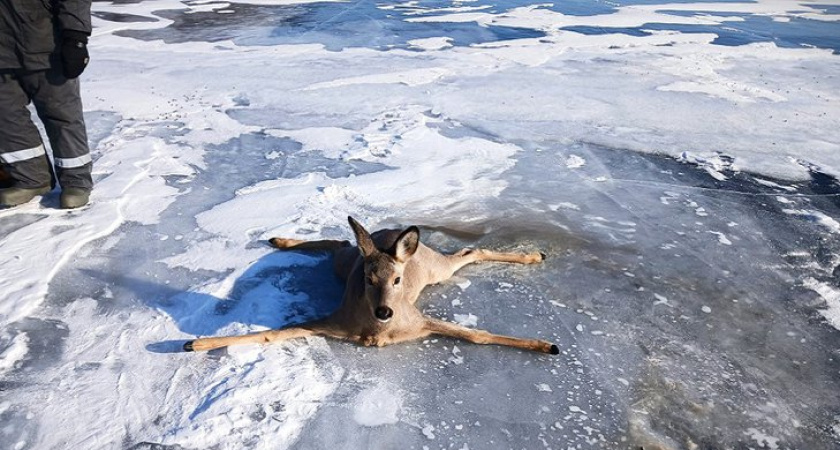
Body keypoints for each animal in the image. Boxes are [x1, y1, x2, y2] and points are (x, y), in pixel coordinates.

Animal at [187, 217, 560, 356]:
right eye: (368, 279)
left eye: (397, 279)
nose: (384, 311)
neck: (375, 332)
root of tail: (390, 236)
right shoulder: (331, 321)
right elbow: (271, 333)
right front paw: (197, 343)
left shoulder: (419, 320)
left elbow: (477, 335)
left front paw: (545, 345)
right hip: (347, 262)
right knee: (340, 242)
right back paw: (280, 239)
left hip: (434, 269)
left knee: (470, 252)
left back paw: (534, 255)